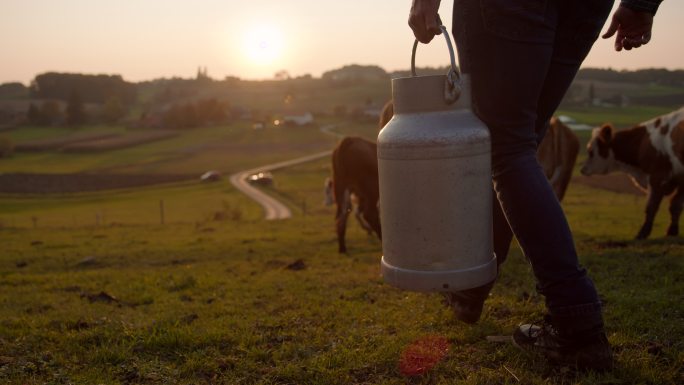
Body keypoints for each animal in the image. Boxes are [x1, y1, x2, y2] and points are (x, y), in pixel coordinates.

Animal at [580, 106, 684, 238]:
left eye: (590, 151)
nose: (582, 169)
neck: (643, 143)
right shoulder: (680, 179)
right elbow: (676, 205)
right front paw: (672, 231)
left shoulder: (657, 177)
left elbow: (651, 207)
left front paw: (642, 233)